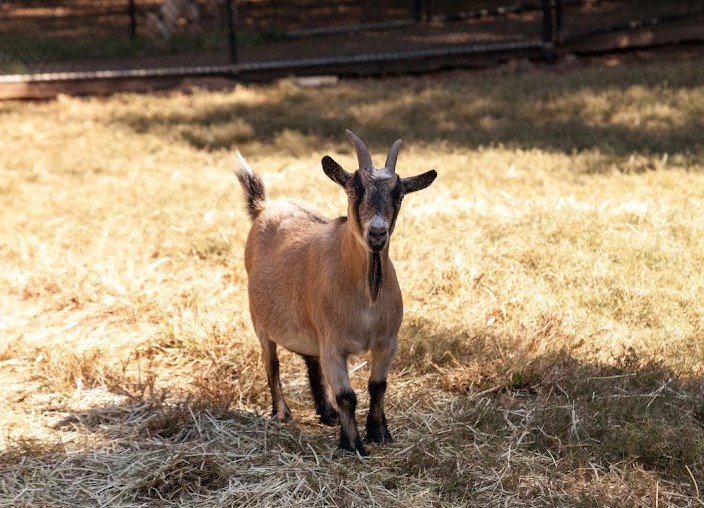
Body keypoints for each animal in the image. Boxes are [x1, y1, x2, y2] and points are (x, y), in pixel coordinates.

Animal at [234, 130, 437, 455]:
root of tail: (264, 208)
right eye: (353, 191)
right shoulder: (333, 345)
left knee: (309, 359)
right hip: (259, 321)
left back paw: (326, 412)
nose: (377, 233)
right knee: (272, 364)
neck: (367, 298)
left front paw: (378, 432)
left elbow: (377, 385)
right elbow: (347, 395)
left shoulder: (387, 341)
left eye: (399, 195)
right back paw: (282, 413)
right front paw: (352, 445)